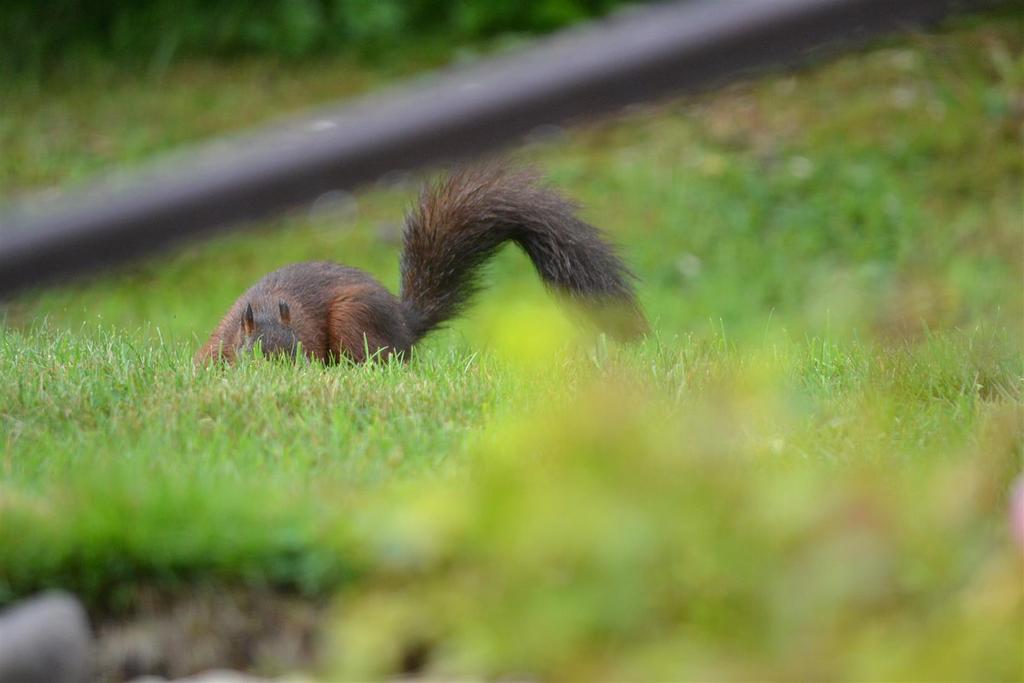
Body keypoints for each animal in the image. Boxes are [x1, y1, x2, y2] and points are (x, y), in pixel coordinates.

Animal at [194, 164, 643, 366]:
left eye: (300, 348)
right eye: (254, 353)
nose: (293, 373)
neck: (267, 306)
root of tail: (405, 324)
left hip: (355, 316)